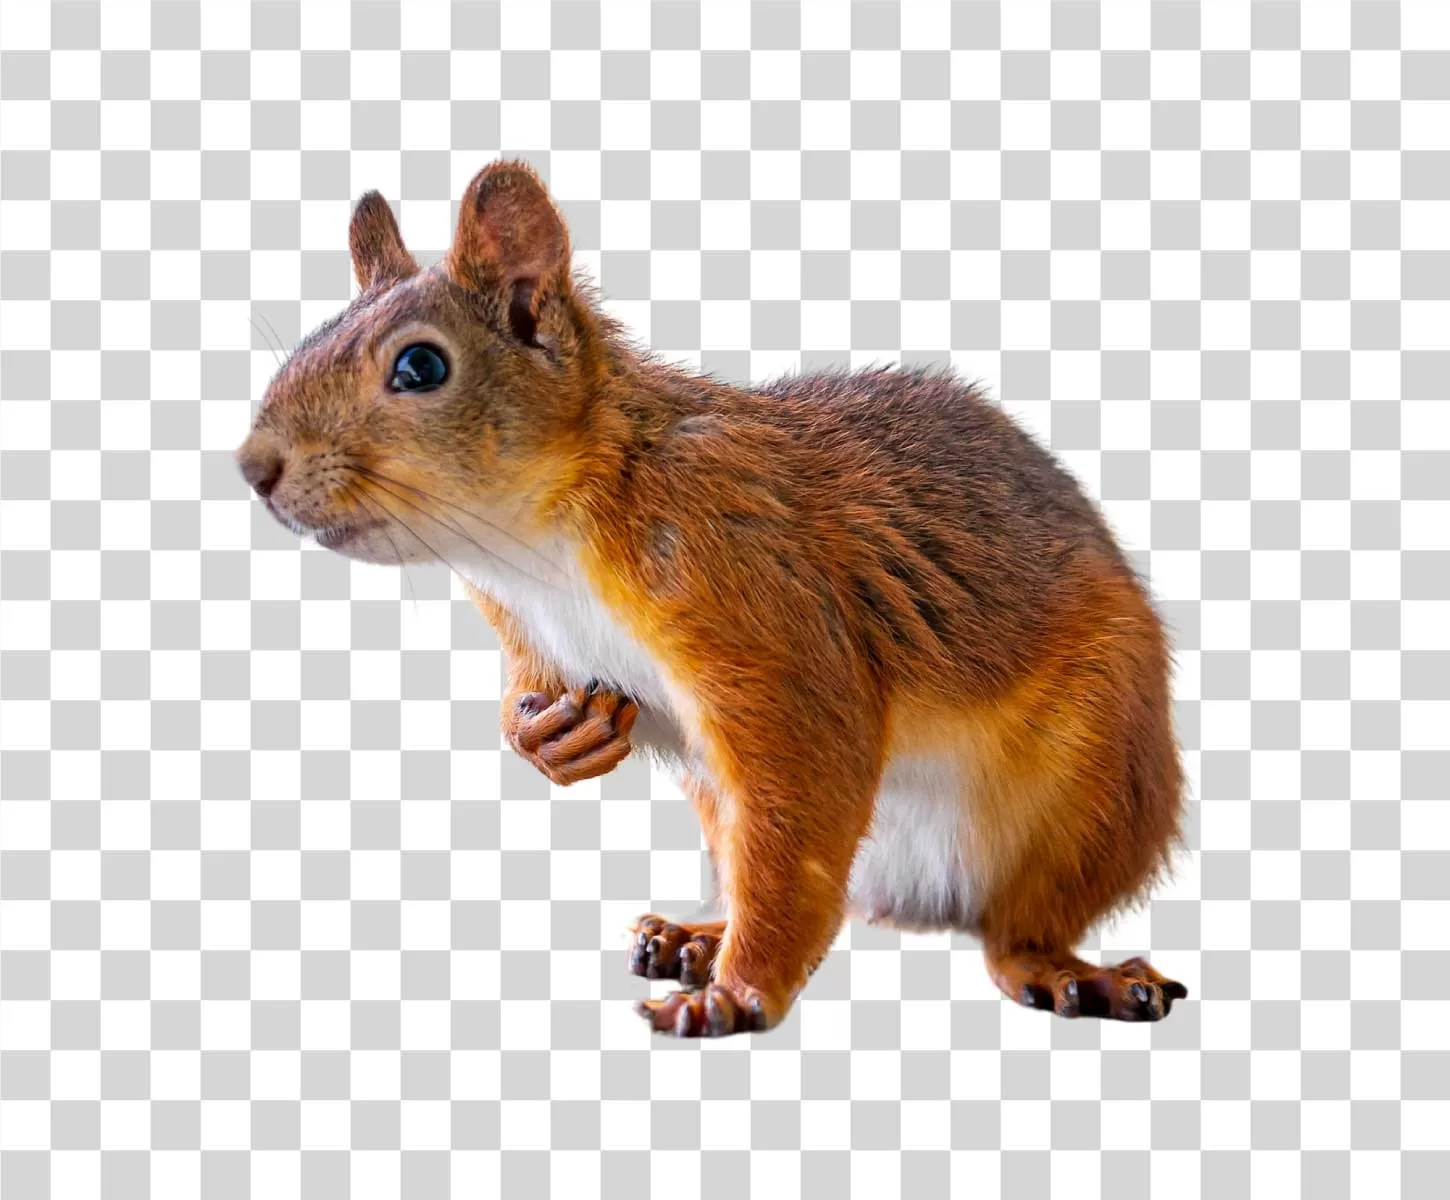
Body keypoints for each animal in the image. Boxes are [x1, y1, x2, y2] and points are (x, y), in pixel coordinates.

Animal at [237, 159, 1188, 1037]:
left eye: (421, 365)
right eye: (310, 339)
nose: (253, 467)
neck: (536, 549)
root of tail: (911, 899)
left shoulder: (753, 597)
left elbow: (801, 798)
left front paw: (739, 994)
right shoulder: (529, 633)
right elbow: (532, 698)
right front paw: (545, 736)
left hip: (1097, 792)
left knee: (1016, 925)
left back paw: (1065, 971)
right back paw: (697, 933)